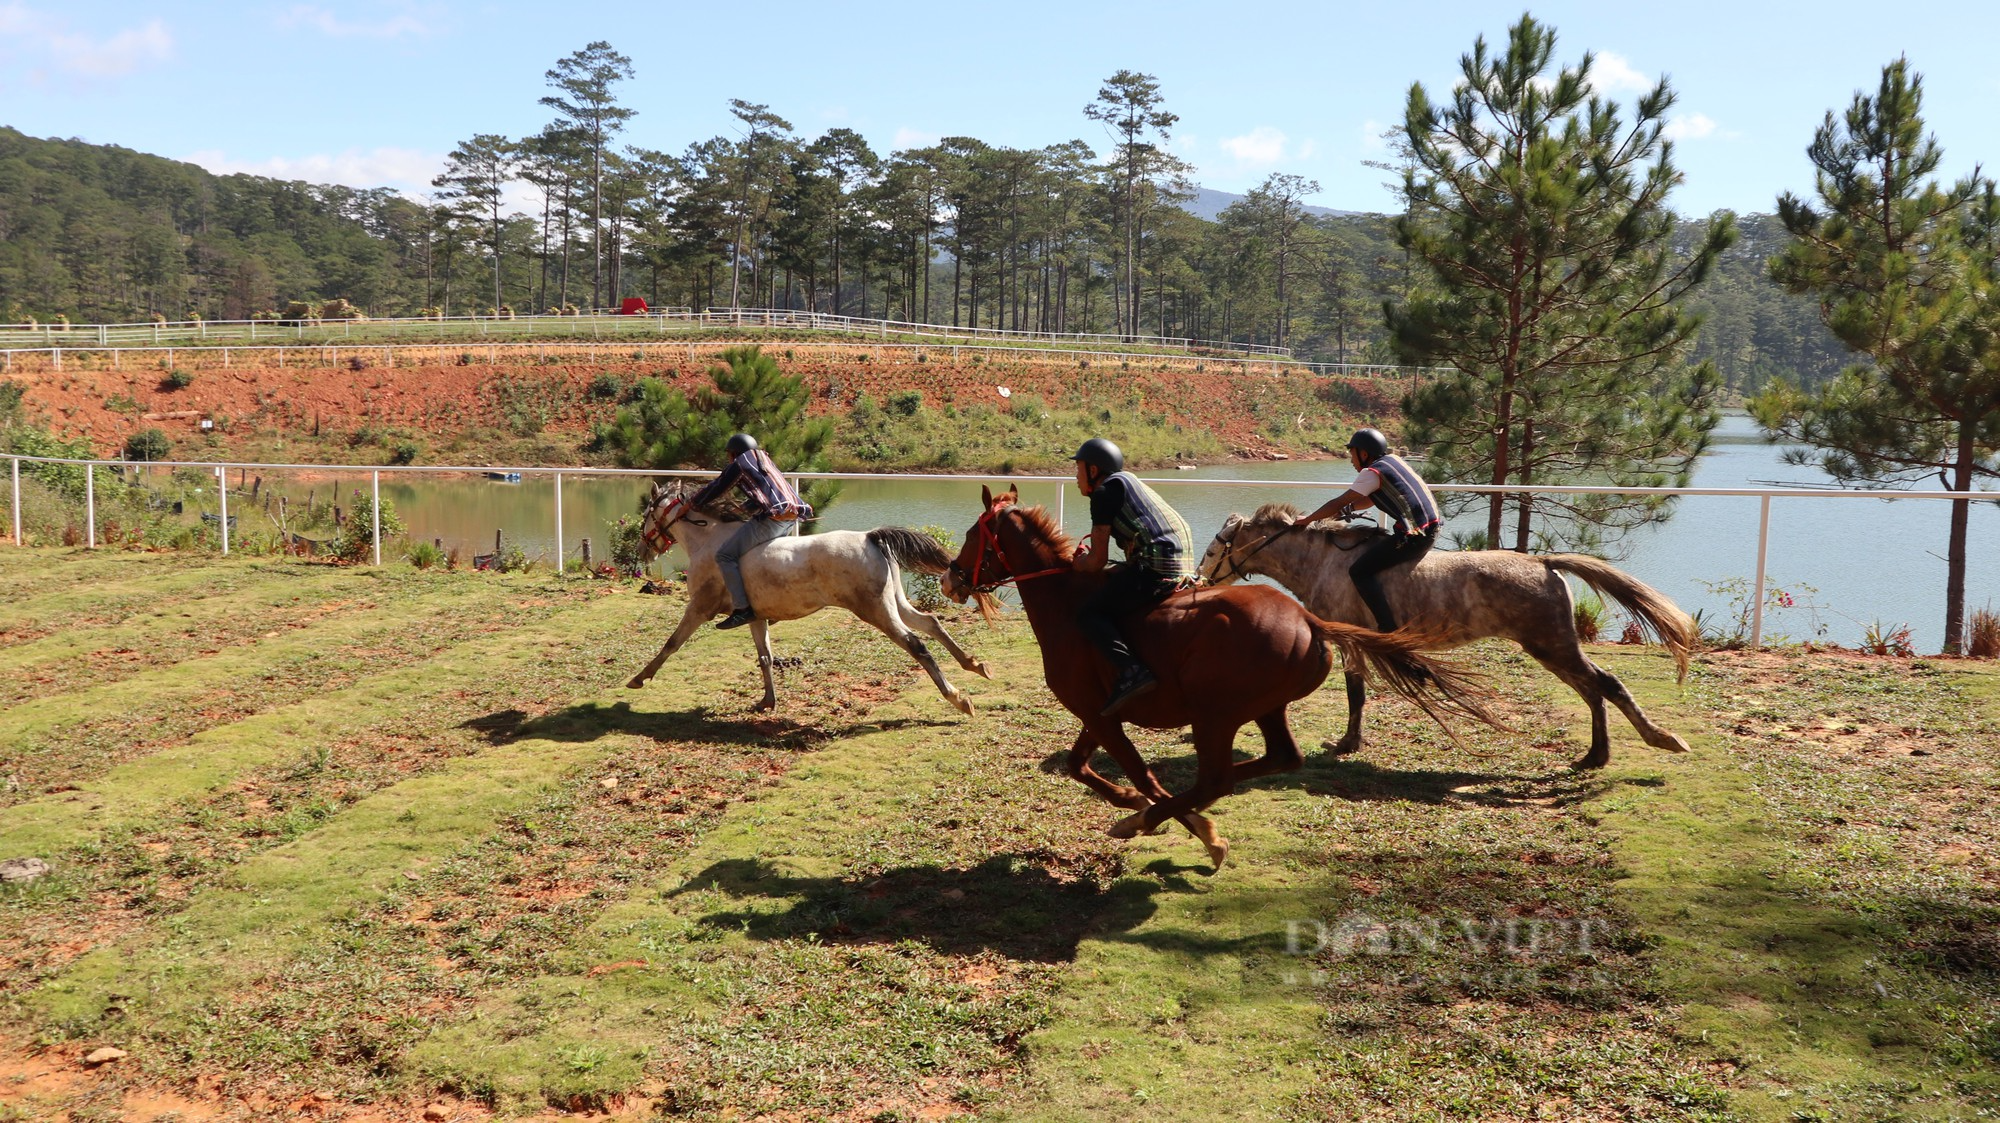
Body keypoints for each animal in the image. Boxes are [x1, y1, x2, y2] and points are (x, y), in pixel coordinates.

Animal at [628, 475, 988, 711]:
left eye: (646, 515)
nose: (643, 550)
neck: (709, 541)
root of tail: (871, 536)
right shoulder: (753, 616)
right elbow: (765, 657)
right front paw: (767, 701)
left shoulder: (699, 608)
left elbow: (671, 643)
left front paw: (639, 678)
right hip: (895, 603)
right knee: (931, 623)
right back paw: (974, 665)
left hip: (877, 612)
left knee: (917, 644)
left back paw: (958, 698)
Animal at [936, 483, 1488, 867]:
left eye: (970, 536)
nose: (948, 579)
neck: (1068, 604)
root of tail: (1308, 620)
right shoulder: (1097, 712)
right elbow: (1081, 766)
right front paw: (1138, 805)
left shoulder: (1100, 714)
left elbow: (1140, 774)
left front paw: (1176, 824)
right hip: (1265, 709)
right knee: (1279, 760)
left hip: (1214, 716)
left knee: (1216, 777)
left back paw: (1158, 820)